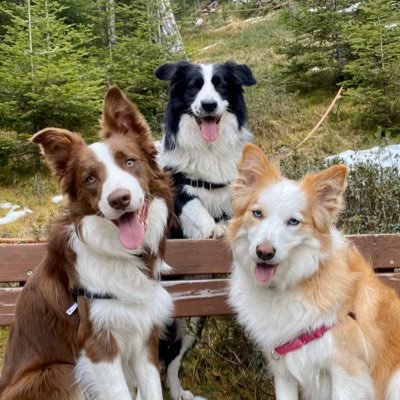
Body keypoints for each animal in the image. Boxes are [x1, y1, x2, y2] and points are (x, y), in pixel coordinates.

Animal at [0, 86, 175, 400]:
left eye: (129, 162)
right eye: (90, 178)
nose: (119, 199)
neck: (122, 256)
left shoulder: (144, 336)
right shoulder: (98, 345)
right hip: (59, 371)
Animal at [156, 61, 256, 400]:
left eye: (221, 85)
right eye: (193, 87)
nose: (209, 105)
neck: (209, 149)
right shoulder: (177, 193)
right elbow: (197, 208)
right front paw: (213, 230)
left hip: (192, 319)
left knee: (172, 359)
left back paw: (179, 393)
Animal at [228, 145, 400, 400]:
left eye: (293, 221)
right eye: (257, 213)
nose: (264, 252)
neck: (287, 287)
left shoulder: (347, 372)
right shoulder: (283, 369)